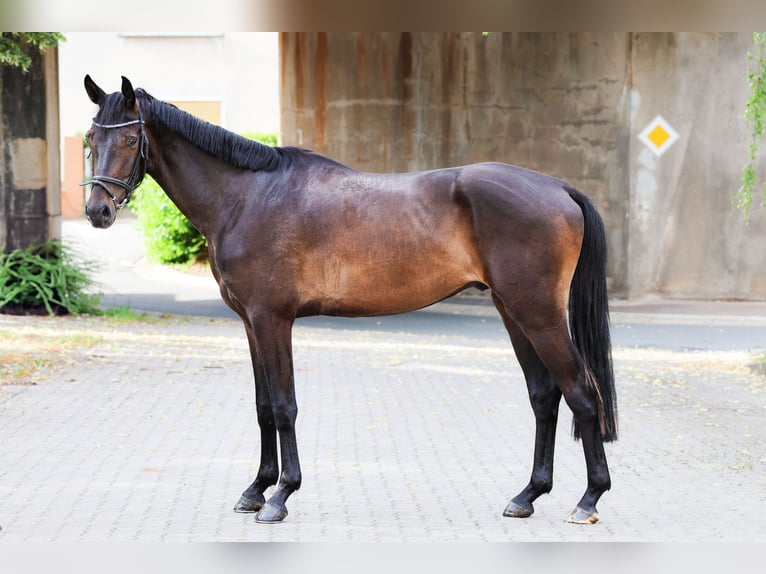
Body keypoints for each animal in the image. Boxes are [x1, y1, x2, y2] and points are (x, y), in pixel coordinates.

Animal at [82, 75, 617, 525]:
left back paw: (589, 499)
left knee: (582, 393)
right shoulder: (251, 323)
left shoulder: (273, 319)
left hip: (539, 315)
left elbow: (284, 405)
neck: (247, 196)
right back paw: (527, 495)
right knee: (544, 397)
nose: (97, 211)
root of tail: (559, 188)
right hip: (514, 312)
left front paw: (281, 495)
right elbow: (262, 406)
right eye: (90, 141)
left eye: (130, 140)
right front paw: (256, 489)